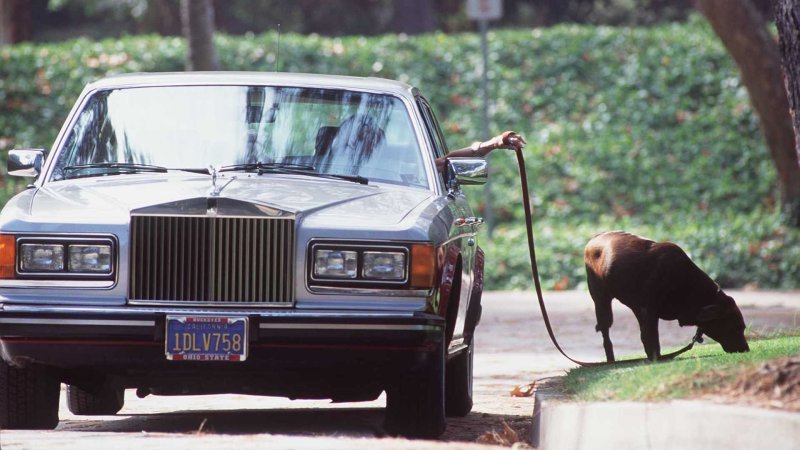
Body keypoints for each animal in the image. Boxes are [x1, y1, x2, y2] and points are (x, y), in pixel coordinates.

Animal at [580, 232, 752, 362]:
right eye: (736, 326)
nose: (746, 349)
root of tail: (594, 240)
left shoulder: (643, 312)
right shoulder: (648, 312)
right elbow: (651, 339)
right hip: (601, 302)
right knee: (606, 336)